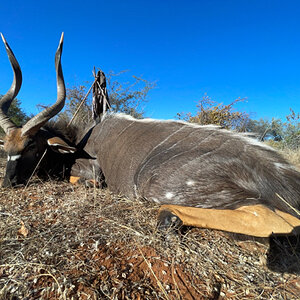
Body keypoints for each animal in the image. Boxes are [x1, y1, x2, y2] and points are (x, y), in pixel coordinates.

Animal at [0, 33, 300, 237]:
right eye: (6, 149)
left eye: (32, 147)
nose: (7, 182)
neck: (79, 138)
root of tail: (280, 171)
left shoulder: (92, 170)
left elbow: (85, 180)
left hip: (153, 183)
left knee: (274, 217)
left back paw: (169, 216)